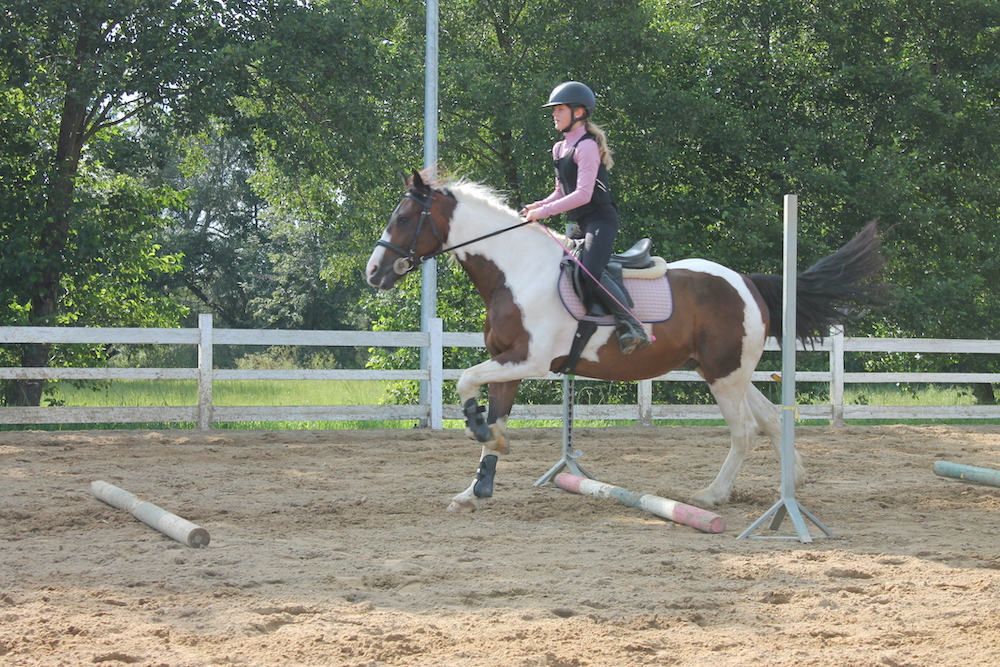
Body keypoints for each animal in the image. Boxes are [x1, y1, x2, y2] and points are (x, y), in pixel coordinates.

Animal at [366, 171, 885, 513]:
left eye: (405, 217)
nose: (372, 272)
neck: (515, 271)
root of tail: (748, 282)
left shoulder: (528, 361)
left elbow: (464, 383)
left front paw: (480, 437)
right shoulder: (508, 363)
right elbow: (491, 411)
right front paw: (476, 487)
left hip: (723, 376)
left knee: (744, 431)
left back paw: (713, 495)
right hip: (726, 371)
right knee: (772, 419)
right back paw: (791, 481)